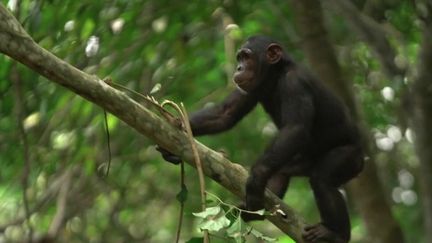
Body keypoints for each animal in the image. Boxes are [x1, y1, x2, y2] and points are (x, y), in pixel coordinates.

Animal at [157, 36, 362, 243]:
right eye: (239, 58)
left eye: (246, 57)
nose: (239, 68)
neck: (276, 76)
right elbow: (225, 114)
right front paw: (176, 128)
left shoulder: (294, 83)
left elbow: (295, 128)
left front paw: (255, 180)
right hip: (296, 160)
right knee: (280, 174)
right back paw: (255, 212)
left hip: (350, 157)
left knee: (323, 180)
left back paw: (335, 233)